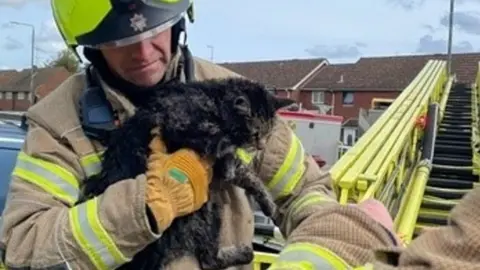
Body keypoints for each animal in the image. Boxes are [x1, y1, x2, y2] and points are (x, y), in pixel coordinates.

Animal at [80, 77, 294, 268]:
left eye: (268, 133)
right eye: (256, 134)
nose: (261, 146)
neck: (213, 101)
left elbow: (248, 176)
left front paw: (267, 203)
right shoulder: (178, 124)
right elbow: (220, 141)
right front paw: (229, 158)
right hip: (209, 208)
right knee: (209, 259)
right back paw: (244, 254)